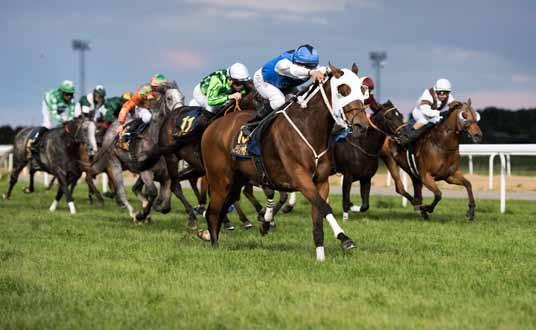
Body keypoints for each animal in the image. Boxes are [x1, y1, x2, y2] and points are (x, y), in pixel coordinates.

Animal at [199, 63, 370, 260]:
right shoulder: (300, 178)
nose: (362, 126)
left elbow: (318, 216)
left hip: (236, 180)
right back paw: (214, 245)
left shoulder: (320, 181)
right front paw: (344, 238)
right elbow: (324, 206)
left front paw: (320, 256)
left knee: (225, 206)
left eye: (362, 89)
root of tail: (211, 127)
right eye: (343, 89)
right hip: (220, 179)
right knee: (213, 212)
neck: (308, 128)